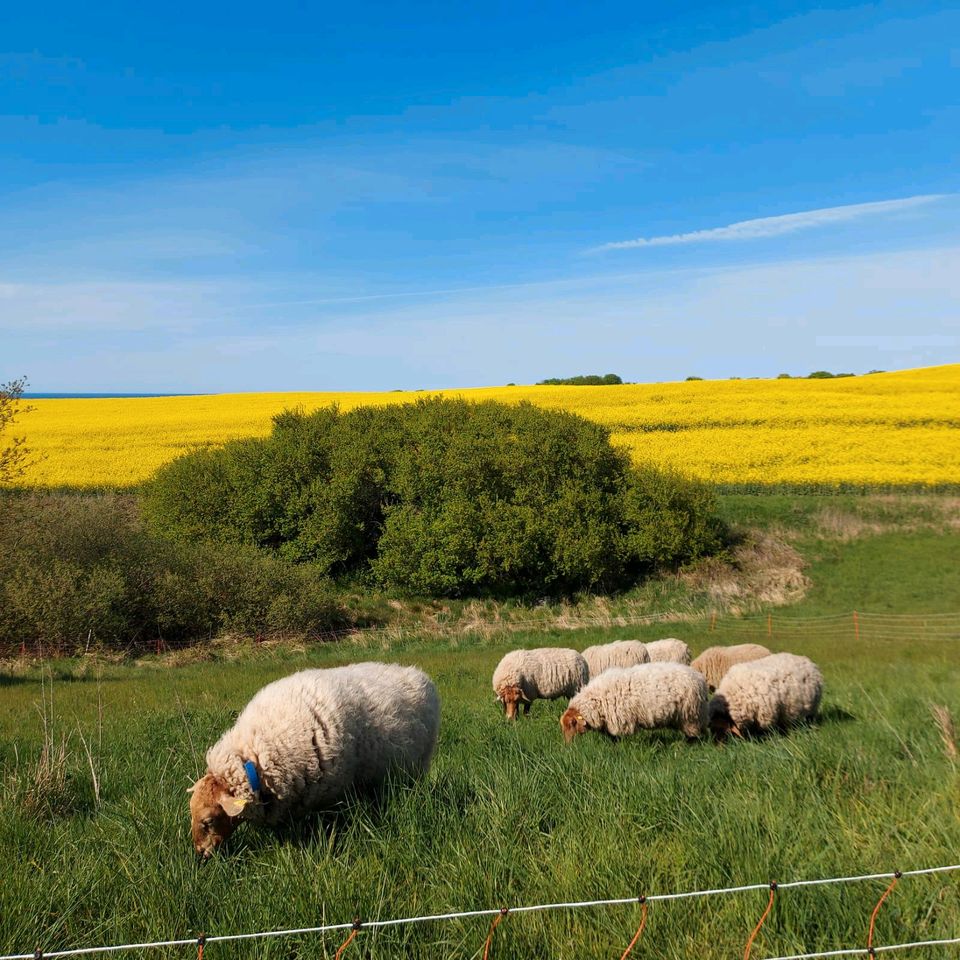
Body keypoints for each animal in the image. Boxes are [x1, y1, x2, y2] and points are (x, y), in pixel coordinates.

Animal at [560, 664, 708, 748]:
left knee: (694, 735)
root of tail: (699, 677)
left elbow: (617, 738)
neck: (596, 701)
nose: (567, 746)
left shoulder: (620, 721)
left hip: (691, 715)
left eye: (572, 724)